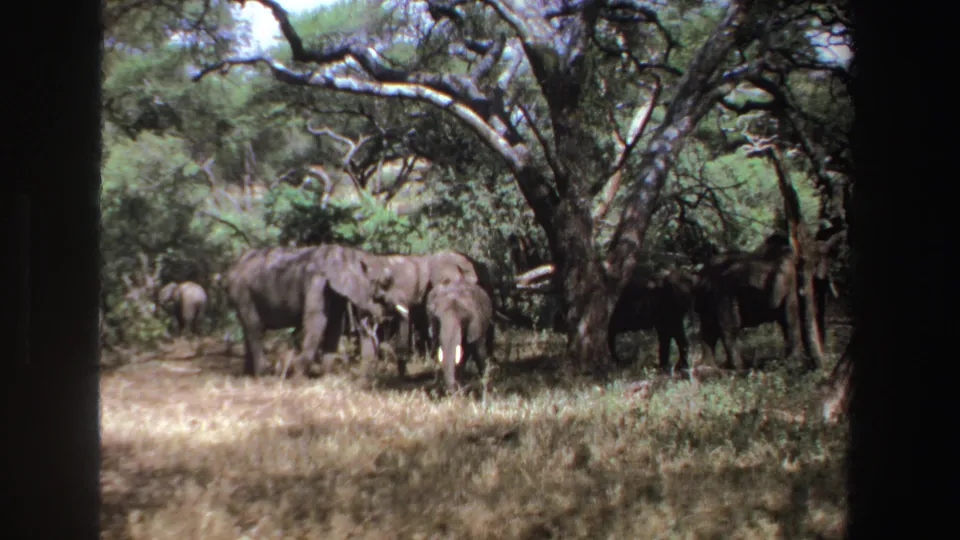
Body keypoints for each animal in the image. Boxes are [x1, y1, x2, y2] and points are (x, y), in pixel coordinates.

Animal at [224, 244, 406, 378]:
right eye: (381, 283)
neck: (347, 253)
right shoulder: (317, 282)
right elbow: (317, 321)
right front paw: (299, 374)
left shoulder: (335, 293)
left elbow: (334, 326)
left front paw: (327, 377)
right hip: (242, 291)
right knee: (255, 327)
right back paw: (264, 373)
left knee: (249, 329)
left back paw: (249, 374)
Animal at [693, 226, 846, 371]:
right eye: (815, 264)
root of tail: (700, 276)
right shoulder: (790, 281)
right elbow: (790, 319)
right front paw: (794, 364)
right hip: (723, 295)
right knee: (729, 329)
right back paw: (738, 368)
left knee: (708, 331)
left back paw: (708, 367)